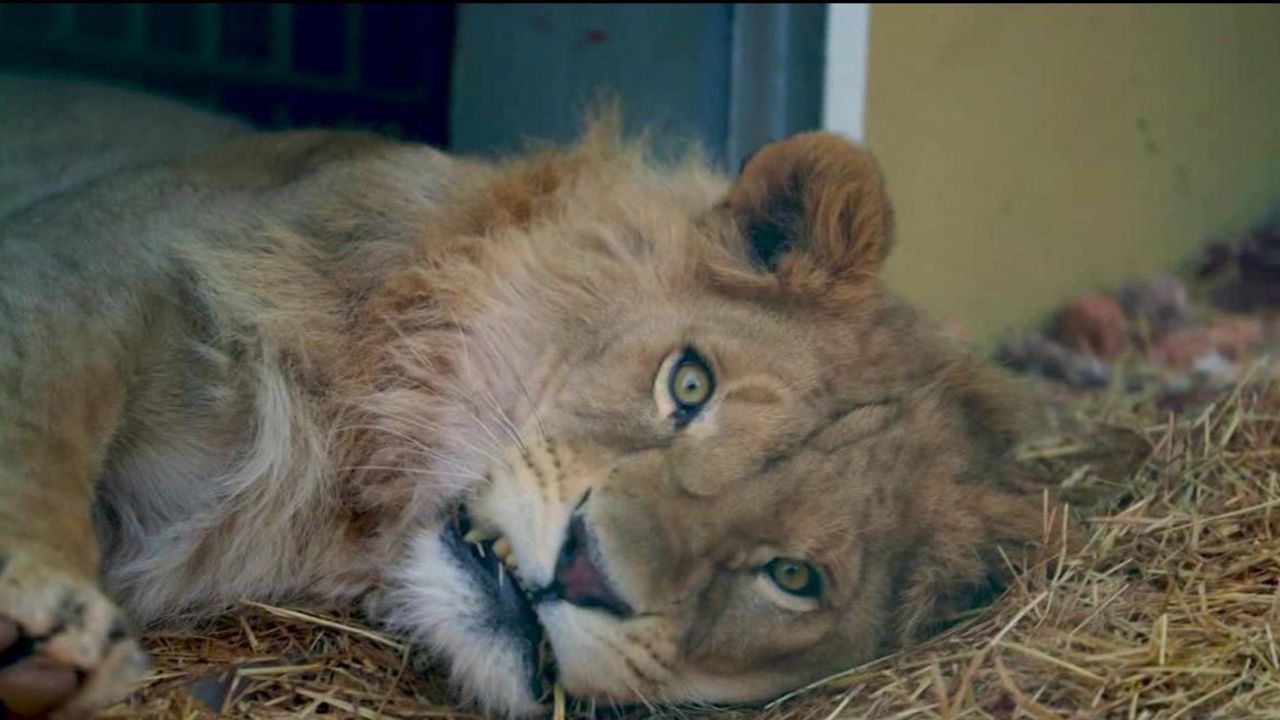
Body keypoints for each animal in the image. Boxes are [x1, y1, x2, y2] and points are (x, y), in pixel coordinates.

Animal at [0, 75, 1049, 712]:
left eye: (791, 579)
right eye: (689, 383)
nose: (584, 574)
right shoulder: (86, 257)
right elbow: (36, 420)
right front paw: (42, 620)